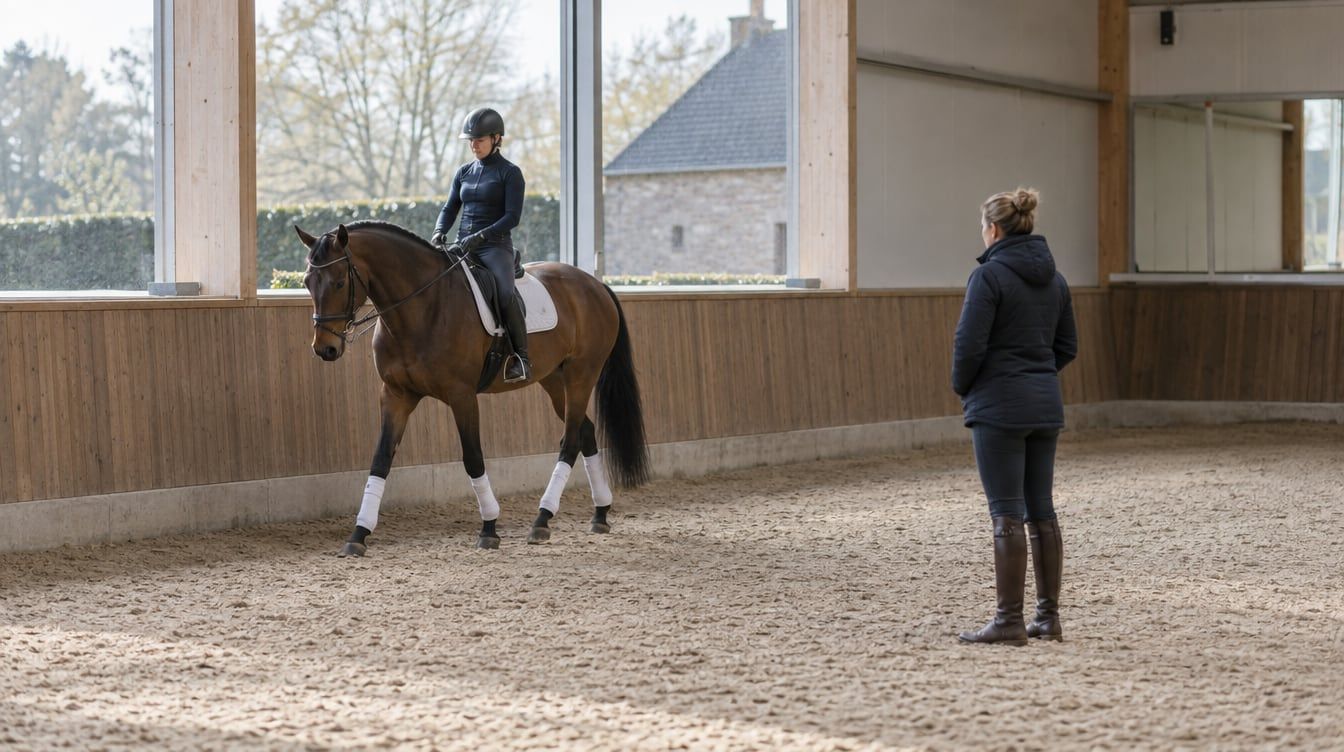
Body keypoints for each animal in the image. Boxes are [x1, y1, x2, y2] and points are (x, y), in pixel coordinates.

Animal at [294, 220, 649, 555]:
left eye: (340, 282)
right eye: (307, 282)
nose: (325, 349)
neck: (422, 308)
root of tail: (594, 284)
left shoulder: (461, 395)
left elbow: (473, 457)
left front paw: (489, 528)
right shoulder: (396, 394)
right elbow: (381, 459)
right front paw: (358, 534)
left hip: (581, 374)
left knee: (571, 439)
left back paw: (542, 519)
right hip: (553, 380)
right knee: (585, 432)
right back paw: (599, 513)